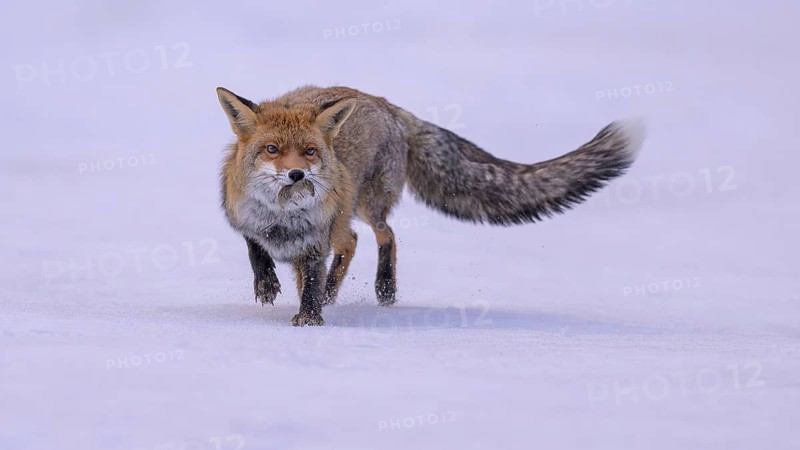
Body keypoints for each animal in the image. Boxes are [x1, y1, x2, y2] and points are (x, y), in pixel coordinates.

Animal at [216, 85, 645, 326]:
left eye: (308, 151)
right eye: (272, 150)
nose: (296, 175)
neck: (282, 217)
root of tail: (383, 102)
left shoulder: (316, 241)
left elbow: (311, 282)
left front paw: (309, 318)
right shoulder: (240, 216)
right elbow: (256, 249)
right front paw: (267, 285)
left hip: (368, 205)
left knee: (381, 236)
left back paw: (383, 288)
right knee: (352, 241)